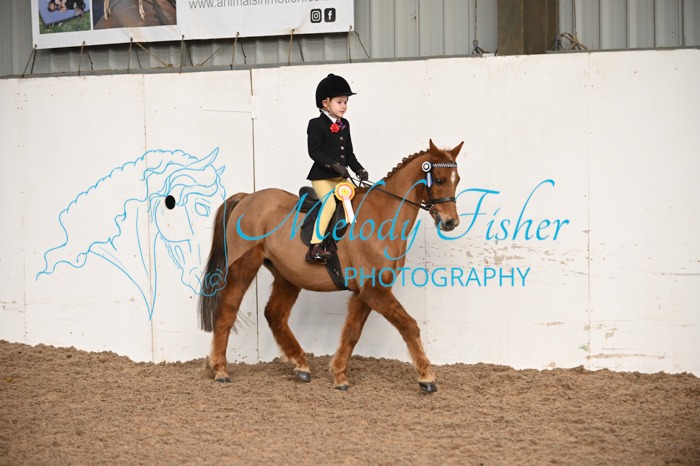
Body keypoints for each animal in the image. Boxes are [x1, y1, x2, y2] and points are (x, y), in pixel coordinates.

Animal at [199, 140, 463, 392]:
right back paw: (221, 371)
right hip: (244, 265)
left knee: (275, 314)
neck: (383, 216)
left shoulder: (365, 291)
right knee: (227, 310)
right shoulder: (374, 289)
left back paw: (301, 365)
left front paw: (339, 376)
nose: (450, 222)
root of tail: (247, 197)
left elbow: (352, 332)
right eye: (439, 179)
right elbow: (409, 325)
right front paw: (426, 378)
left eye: (457, 180)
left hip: (287, 275)